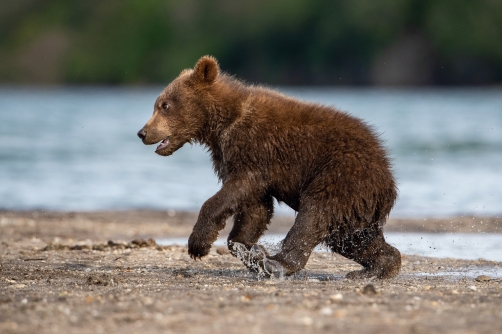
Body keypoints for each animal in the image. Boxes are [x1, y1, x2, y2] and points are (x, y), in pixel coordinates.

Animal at [136, 55, 400, 280]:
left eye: (165, 105)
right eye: (157, 104)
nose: (143, 132)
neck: (221, 125)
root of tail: (388, 176)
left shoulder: (255, 151)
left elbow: (234, 192)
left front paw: (198, 244)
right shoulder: (238, 160)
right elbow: (256, 208)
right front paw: (248, 248)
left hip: (340, 176)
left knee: (313, 216)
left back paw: (278, 263)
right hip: (356, 206)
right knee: (353, 238)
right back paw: (376, 268)